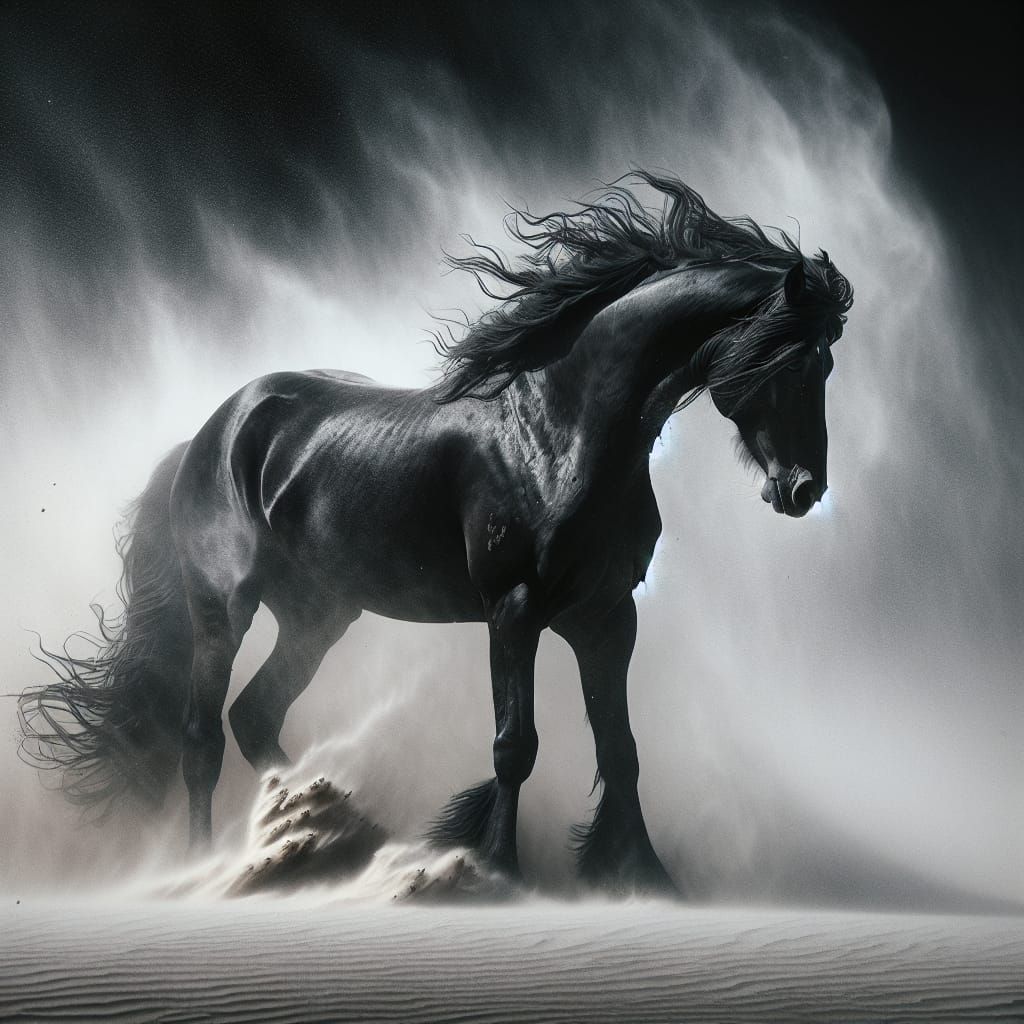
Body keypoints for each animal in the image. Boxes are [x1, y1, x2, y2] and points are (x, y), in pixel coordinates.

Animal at [19, 172, 853, 894]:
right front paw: (500, 872)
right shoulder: (514, 611)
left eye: (826, 366)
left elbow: (621, 752)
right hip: (223, 611)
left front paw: (649, 880)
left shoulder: (608, 617)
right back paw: (207, 866)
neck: (563, 428)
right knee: (201, 737)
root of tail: (212, 432)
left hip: (320, 616)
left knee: (255, 718)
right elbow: (516, 748)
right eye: (790, 362)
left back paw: (324, 845)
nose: (801, 491)